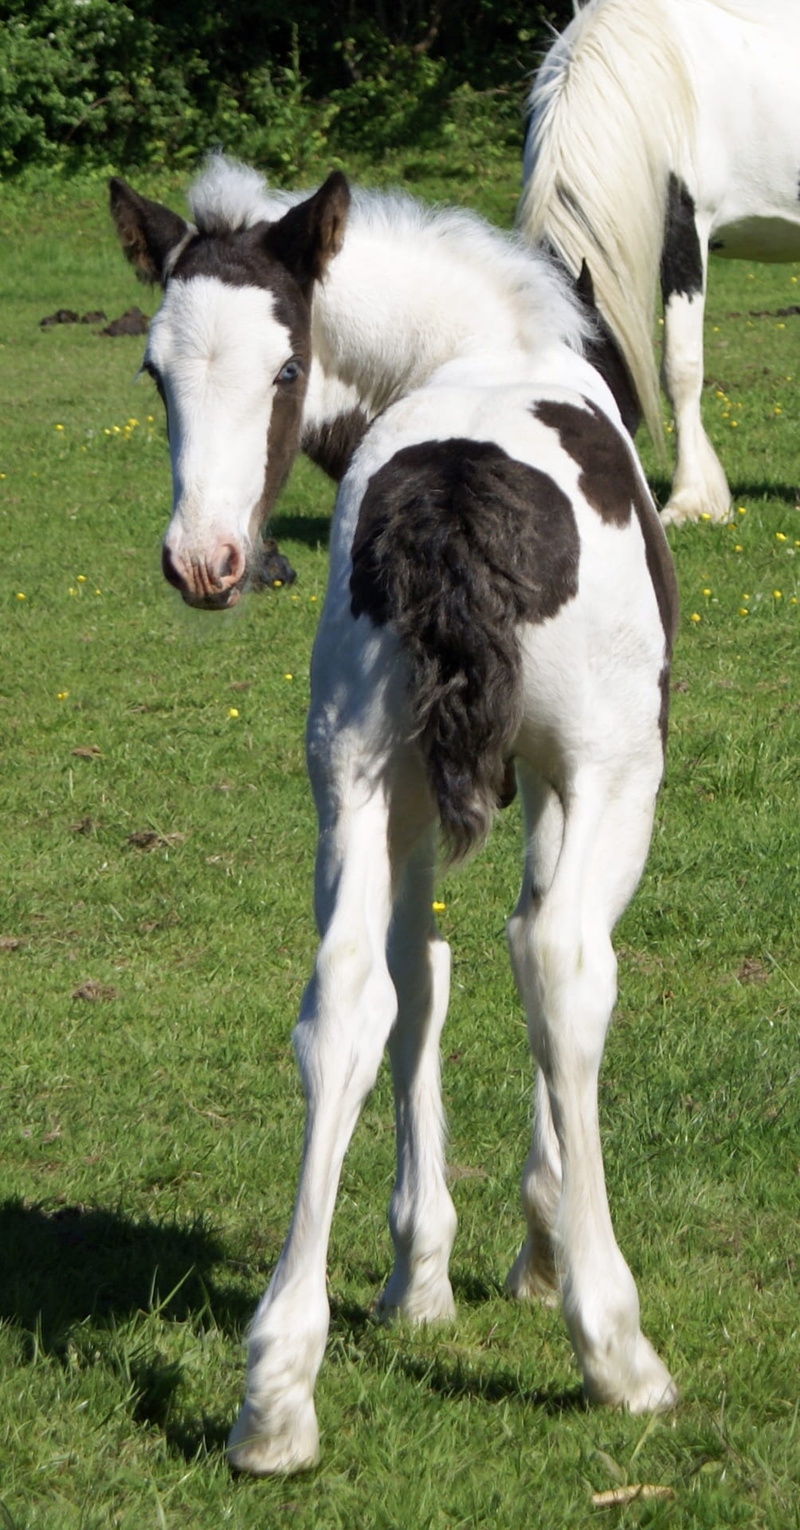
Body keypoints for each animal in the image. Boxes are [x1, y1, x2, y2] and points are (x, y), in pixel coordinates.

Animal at [110, 158, 679, 1474]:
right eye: (157, 372)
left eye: (281, 368)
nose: (205, 561)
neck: (474, 350)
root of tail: (454, 496)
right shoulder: (571, 782)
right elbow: (532, 952)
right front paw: (536, 1245)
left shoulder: (410, 790)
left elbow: (416, 976)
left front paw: (417, 1275)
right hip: (614, 768)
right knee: (563, 962)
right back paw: (615, 1349)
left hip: (355, 774)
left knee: (343, 1001)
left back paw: (276, 1393)